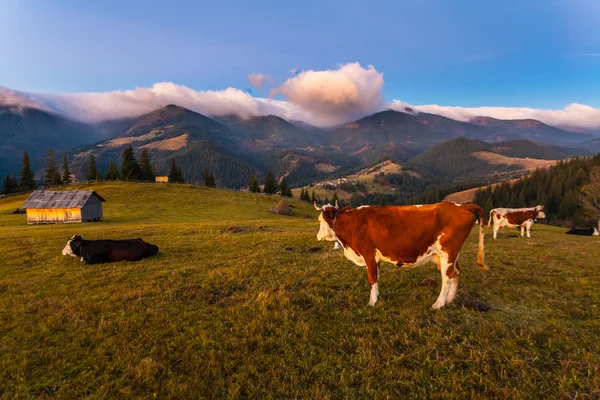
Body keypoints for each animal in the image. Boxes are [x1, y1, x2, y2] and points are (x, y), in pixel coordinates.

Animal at [314, 203, 488, 310]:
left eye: (319, 220)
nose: (317, 236)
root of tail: (459, 205)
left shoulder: (368, 254)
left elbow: (372, 278)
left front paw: (371, 302)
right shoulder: (376, 258)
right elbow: (377, 277)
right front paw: (377, 296)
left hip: (447, 253)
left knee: (447, 276)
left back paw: (438, 304)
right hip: (450, 255)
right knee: (456, 272)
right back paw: (450, 300)